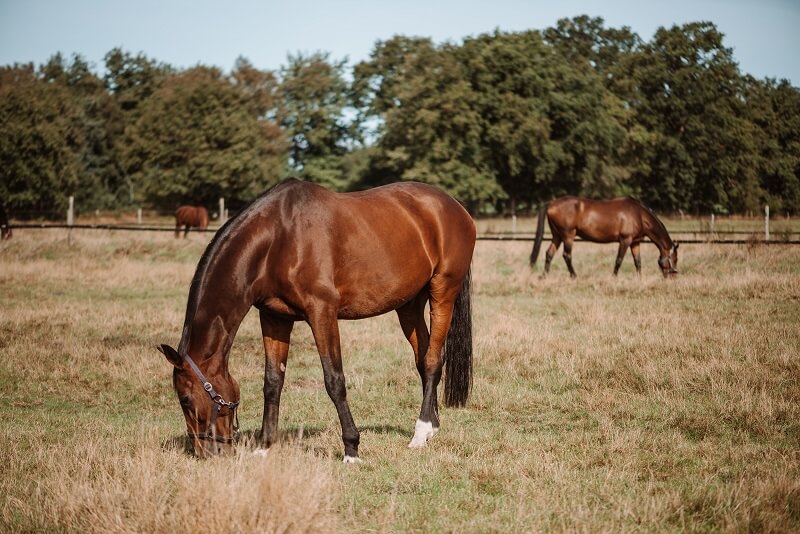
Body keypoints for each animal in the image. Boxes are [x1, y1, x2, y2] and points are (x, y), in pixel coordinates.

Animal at [159, 178, 478, 462]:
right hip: (408, 305)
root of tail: (454, 207)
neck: (277, 239)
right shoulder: (274, 317)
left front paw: (351, 449)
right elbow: (273, 381)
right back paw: (431, 427)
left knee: (433, 361)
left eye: (185, 399)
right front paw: (264, 447)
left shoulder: (322, 312)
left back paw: (419, 433)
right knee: (422, 359)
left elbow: (334, 379)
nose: (206, 452)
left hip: (443, 292)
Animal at [528, 198, 680, 280]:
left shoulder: (635, 242)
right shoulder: (625, 240)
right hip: (568, 236)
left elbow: (638, 262)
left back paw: (545, 276)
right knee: (567, 255)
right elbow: (619, 260)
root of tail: (551, 203)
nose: (672, 276)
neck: (639, 214)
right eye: (675, 259)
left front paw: (639, 278)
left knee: (549, 253)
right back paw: (574, 276)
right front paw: (614, 277)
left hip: (557, 236)